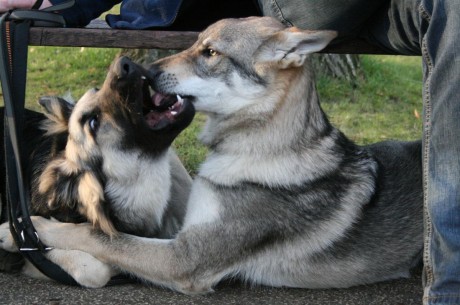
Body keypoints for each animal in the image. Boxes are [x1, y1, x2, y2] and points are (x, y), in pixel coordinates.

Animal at [0, 17, 424, 292]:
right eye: (195, 43)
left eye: (210, 52)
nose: (140, 67)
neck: (257, 148)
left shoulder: (185, 259)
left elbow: (102, 237)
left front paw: (22, 229)